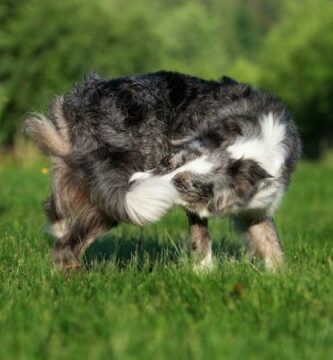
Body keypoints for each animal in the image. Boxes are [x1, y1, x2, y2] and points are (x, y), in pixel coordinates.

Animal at [24, 71, 300, 270]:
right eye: (167, 163)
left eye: (182, 183)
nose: (136, 180)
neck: (254, 150)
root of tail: (85, 100)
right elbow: (201, 238)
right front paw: (204, 274)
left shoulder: (256, 209)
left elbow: (272, 244)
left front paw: (282, 280)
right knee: (67, 247)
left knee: (56, 206)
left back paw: (59, 226)